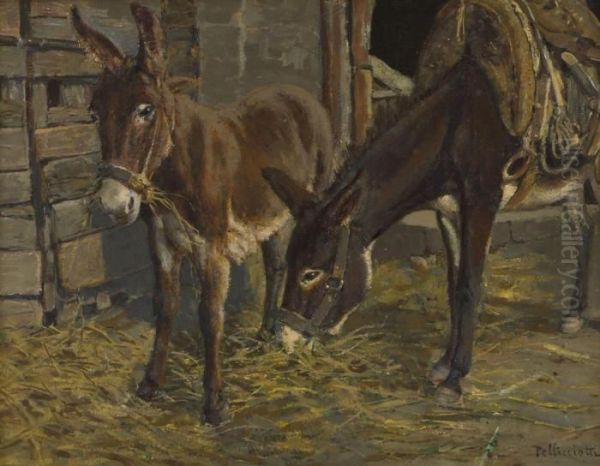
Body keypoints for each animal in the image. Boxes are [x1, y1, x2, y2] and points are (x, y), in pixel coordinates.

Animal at [71, 3, 340, 424]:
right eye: (94, 113)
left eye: (145, 110)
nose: (114, 203)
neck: (174, 170)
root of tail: (296, 91)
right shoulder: (162, 242)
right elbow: (166, 307)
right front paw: (150, 384)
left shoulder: (211, 247)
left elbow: (210, 314)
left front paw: (214, 401)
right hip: (272, 210)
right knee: (277, 265)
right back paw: (266, 332)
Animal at [262, 55, 598, 406]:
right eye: (291, 266)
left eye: (310, 274)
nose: (285, 340)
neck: (452, 129)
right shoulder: (448, 212)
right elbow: (453, 286)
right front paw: (444, 364)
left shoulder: (482, 202)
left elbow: (469, 286)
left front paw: (455, 379)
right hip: (574, 178)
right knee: (583, 227)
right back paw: (574, 315)